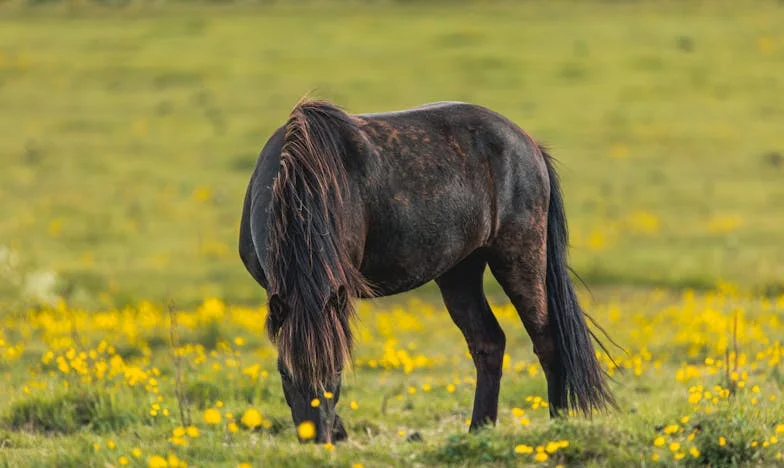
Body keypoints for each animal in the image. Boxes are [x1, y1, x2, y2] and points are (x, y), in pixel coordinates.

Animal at [236, 98, 616, 442]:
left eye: (338, 368)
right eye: (284, 373)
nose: (317, 440)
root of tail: (529, 145)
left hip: (520, 256)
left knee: (546, 339)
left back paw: (558, 426)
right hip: (460, 270)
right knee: (488, 343)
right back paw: (477, 431)